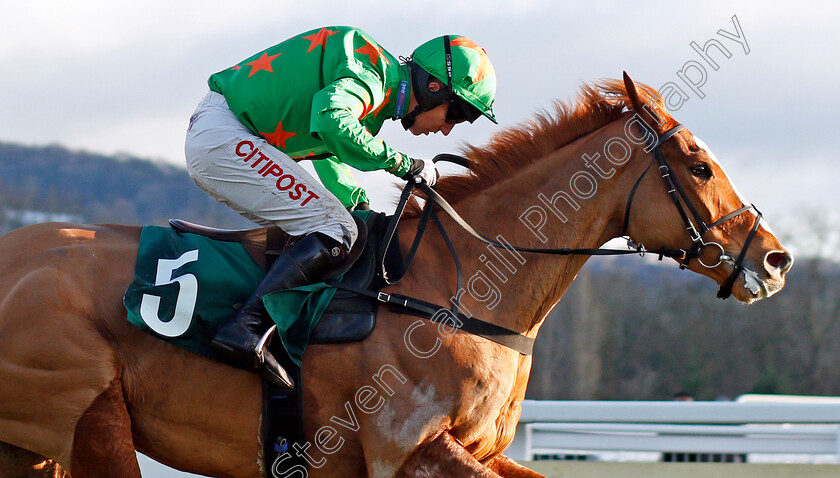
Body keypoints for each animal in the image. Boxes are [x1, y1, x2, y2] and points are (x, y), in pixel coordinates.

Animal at [0, 74, 796, 474]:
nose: (775, 258)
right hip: (87, 418)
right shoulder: (406, 450)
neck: (458, 285)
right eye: (699, 165)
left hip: (30, 449)